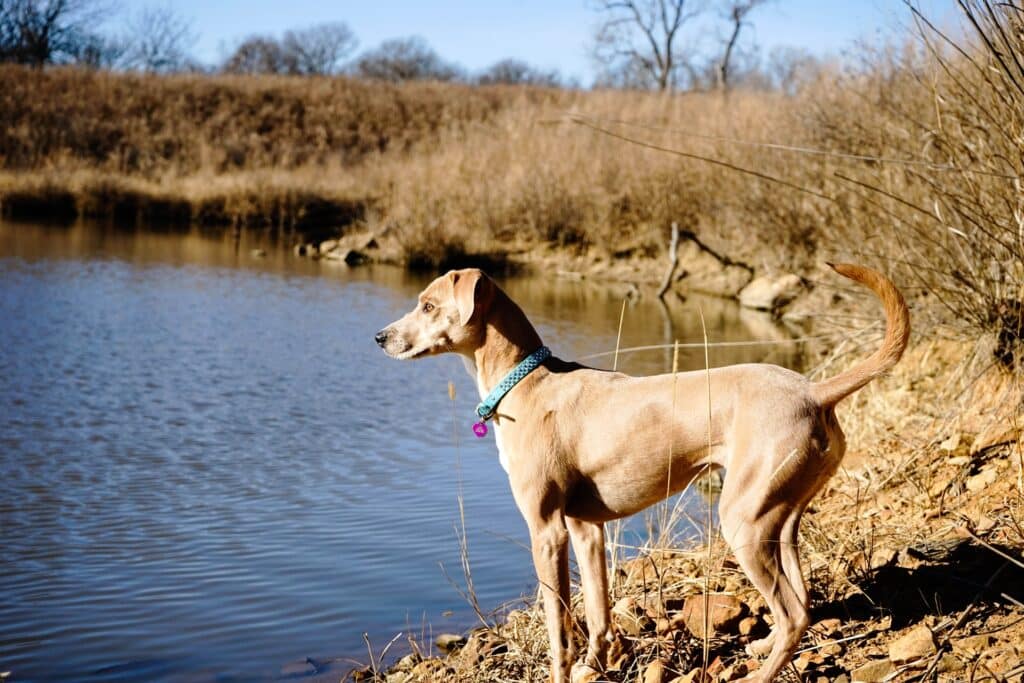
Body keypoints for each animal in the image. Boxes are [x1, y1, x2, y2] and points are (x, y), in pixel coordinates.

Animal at [376, 264, 913, 679]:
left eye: (428, 306)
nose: (380, 337)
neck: (526, 383)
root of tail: (814, 391)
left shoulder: (546, 530)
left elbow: (558, 626)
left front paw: (563, 672)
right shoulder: (585, 528)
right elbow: (597, 611)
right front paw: (596, 665)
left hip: (743, 519)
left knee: (794, 612)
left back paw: (759, 673)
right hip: (779, 517)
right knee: (800, 602)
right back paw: (762, 647)